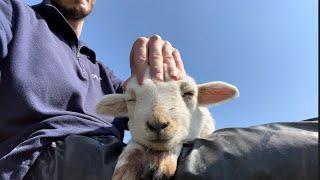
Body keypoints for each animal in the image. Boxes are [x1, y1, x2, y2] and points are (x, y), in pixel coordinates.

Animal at [96, 68, 239, 180]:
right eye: (131, 99)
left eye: (189, 93)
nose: (157, 123)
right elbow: (134, 146)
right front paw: (126, 169)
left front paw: (162, 163)